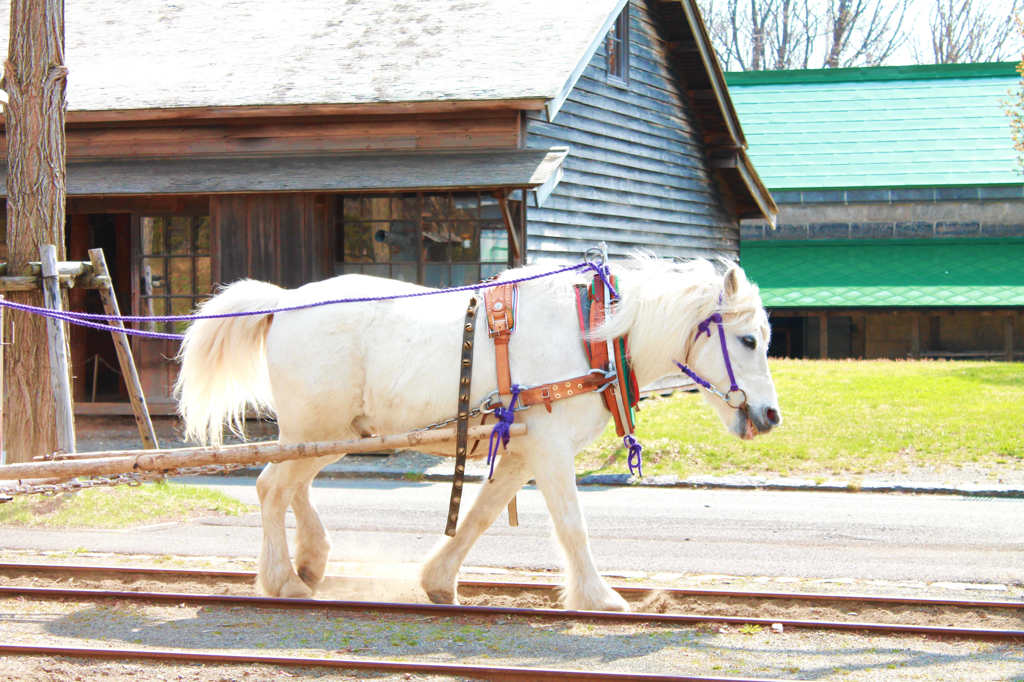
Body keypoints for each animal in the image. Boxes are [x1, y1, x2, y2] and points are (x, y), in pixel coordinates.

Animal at [178, 256, 782, 610]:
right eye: (749, 340)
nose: (772, 416)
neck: (593, 336)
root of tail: (283, 301)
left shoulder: (522, 451)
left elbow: (479, 515)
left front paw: (439, 580)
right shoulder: (551, 449)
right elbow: (572, 526)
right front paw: (601, 597)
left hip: (332, 431)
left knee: (291, 487)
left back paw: (311, 559)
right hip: (316, 426)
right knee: (272, 488)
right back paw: (284, 580)